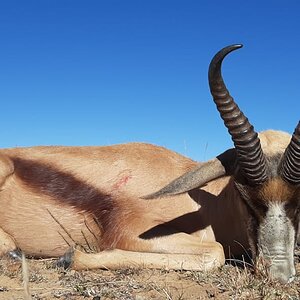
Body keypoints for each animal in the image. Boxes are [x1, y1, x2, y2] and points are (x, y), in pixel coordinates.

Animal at [0, 44, 298, 284]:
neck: (204, 205)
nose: (279, 275)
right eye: (243, 192)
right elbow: (215, 252)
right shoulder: (129, 232)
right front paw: (69, 257)